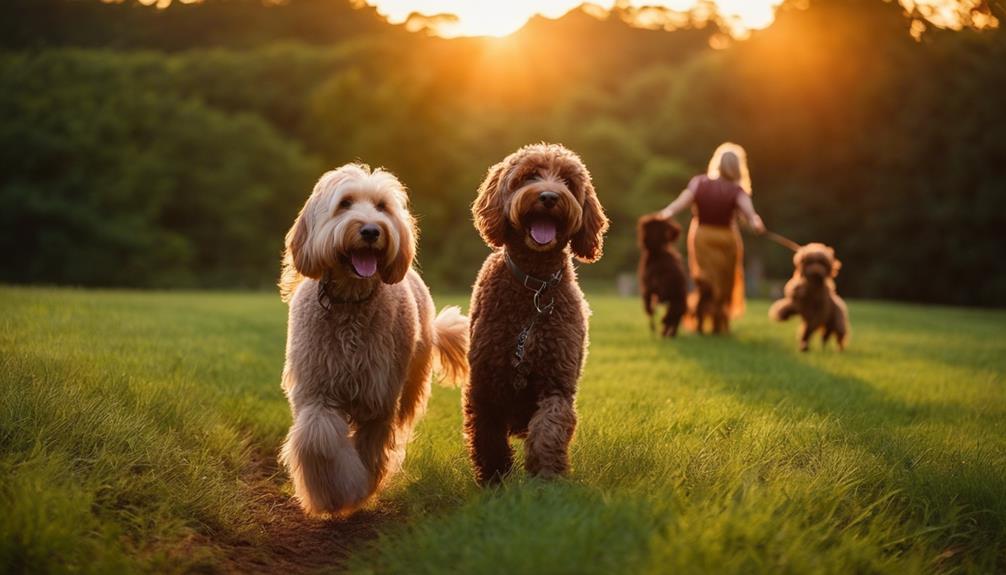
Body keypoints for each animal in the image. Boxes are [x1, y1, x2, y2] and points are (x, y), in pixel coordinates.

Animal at [279, 162, 466, 514]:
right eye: (345, 203)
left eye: (381, 207)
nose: (370, 231)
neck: (350, 302)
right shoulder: (316, 390)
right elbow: (318, 437)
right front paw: (335, 495)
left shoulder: (379, 397)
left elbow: (370, 447)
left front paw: (359, 490)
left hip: (411, 383)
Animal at [460, 143, 603, 484]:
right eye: (529, 176)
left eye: (568, 182)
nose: (549, 197)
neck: (533, 286)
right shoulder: (484, 384)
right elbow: (487, 436)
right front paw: (494, 479)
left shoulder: (556, 382)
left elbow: (549, 428)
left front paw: (547, 477)